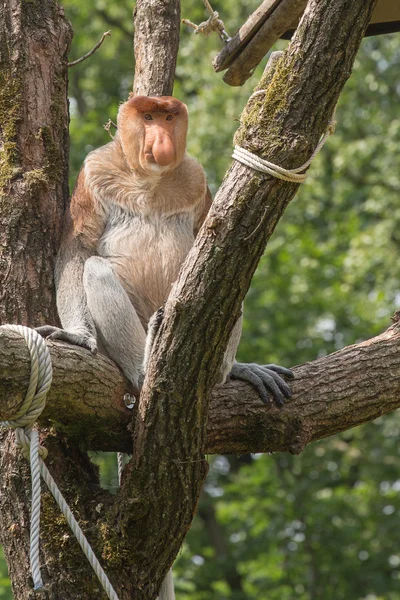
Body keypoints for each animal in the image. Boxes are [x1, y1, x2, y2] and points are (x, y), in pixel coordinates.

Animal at [38, 94, 294, 600]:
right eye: (149, 117)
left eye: (170, 116)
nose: (161, 140)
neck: (149, 180)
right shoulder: (94, 172)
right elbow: (76, 251)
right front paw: (77, 335)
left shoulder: (195, 176)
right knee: (96, 267)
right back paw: (146, 368)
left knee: (230, 294)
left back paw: (218, 373)